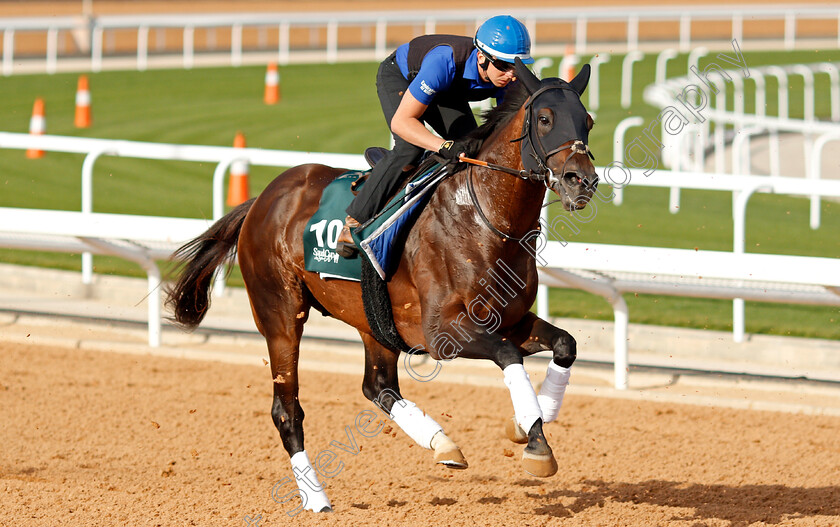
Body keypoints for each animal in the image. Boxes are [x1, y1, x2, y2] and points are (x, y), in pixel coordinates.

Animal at [166, 56, 596, 512]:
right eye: (545, 118)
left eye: (587, 121)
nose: (581, 180)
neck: (484, 219)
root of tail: (261, 200)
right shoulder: (443, 332)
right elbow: (508, 355)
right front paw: (535, 443)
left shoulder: (509, 318)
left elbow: (565, 344)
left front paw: (532, 419)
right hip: (280, 315)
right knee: (287, 410)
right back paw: (316, 498)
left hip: (373, 319)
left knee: (377, 386)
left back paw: (442, 443)